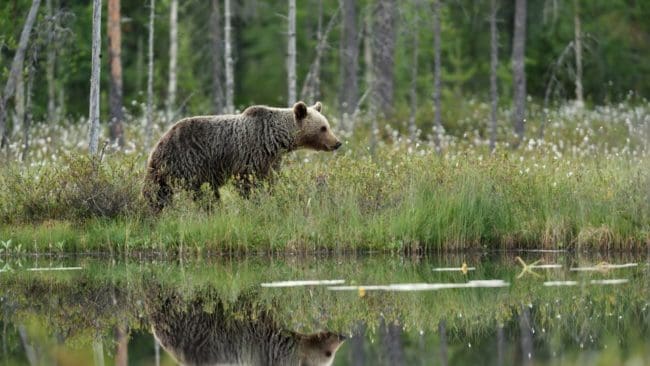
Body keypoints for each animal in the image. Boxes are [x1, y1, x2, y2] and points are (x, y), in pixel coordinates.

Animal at [143, 101, 340, 210]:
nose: (337, 142)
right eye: (323, 128)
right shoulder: (250, 152)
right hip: (184, 161)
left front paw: (271, 195)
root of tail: (162, 138)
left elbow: (270, 179)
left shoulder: (270, 159)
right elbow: (246, 182)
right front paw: (254, 200)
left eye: (327, 125)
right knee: (162, 190)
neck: (275, 140)